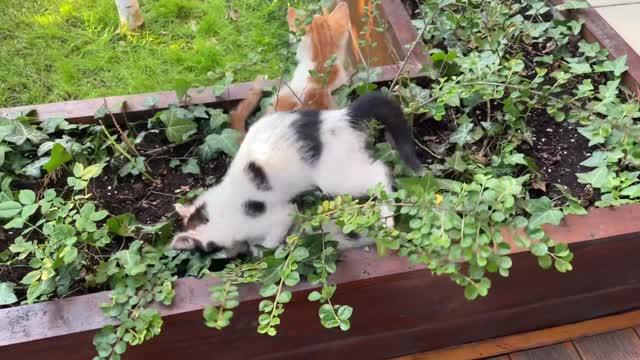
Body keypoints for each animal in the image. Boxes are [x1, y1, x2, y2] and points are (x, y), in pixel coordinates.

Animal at [169, 93, 424, 256]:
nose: (230, 255)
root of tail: (340, 117)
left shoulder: (278, 215)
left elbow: (272, 238)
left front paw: (262, 250)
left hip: (335, 176)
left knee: (380, 171)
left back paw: (387, 216)